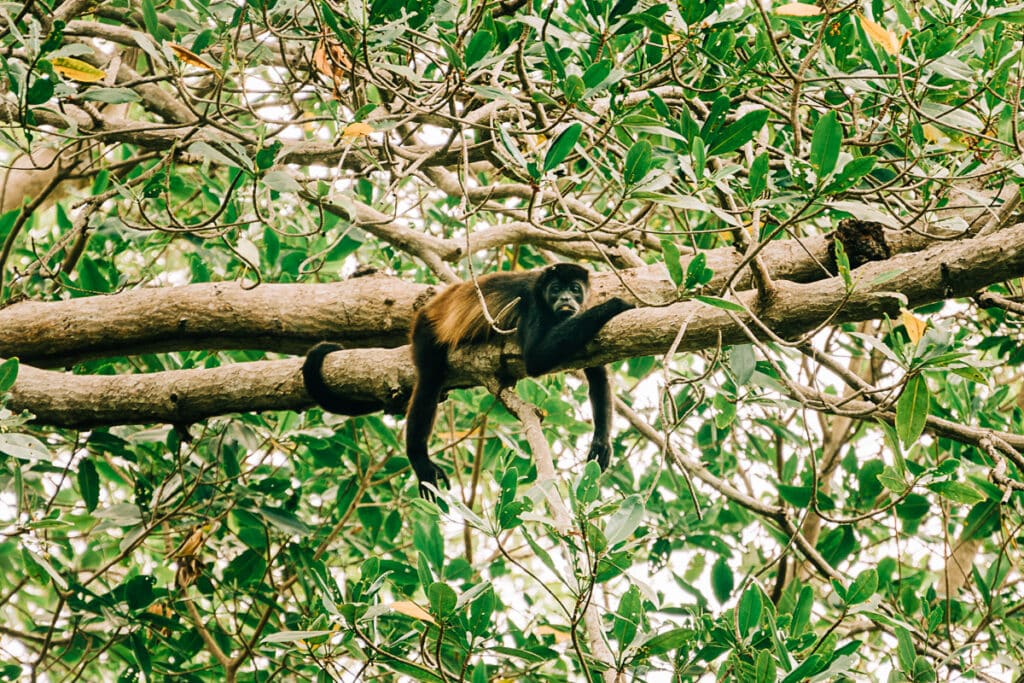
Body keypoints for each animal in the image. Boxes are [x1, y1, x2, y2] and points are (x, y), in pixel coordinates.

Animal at [301, 266, 630, 497]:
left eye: (575, 289)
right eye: (556, 289)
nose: (565, 299)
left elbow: (597, 372)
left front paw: (601, 440)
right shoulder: (531, 303)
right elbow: (536, 357)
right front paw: (614, 304)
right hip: (425, 333)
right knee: (429, 380)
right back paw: (420, 460)